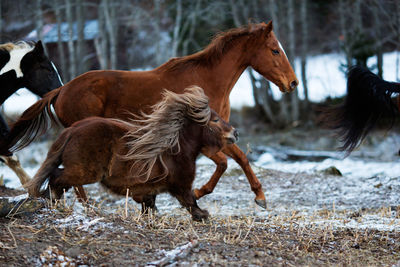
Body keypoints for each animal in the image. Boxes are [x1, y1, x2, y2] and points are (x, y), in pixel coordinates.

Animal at [25, 86, 238, 222]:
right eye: (215, 120)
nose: (235, 133)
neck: (176, 149)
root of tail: (71, 131)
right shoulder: (180, 185)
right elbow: (190, 201)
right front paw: (203, 215)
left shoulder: (149, 191)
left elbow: (149, 206)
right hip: (84, 172)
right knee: (57, 177)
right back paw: (52, 199)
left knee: (57, 178)